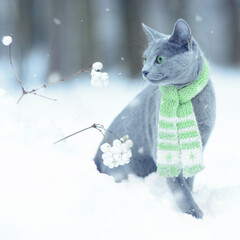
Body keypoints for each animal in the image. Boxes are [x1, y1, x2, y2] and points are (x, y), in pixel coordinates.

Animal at [93, 18, 216, 218]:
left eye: (159, 59)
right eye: (145, 59)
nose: (144, 71)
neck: (187, 97)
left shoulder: (202, 142)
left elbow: (189, 178)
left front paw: (193, 197)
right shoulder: (161, 147)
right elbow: (179, 185)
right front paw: (193, 211)